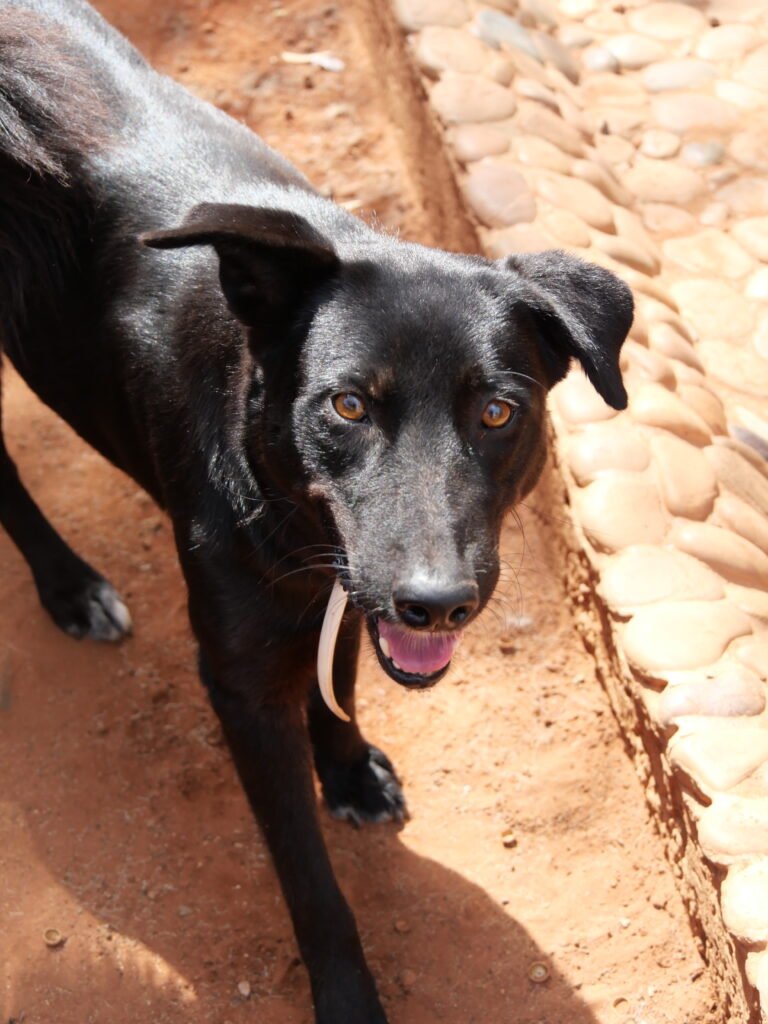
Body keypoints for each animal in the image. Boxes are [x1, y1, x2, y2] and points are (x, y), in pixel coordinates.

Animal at [0, 1, 633, 1020]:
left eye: (498, 412)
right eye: (347, 406)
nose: (437, 604)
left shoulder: (351, 586)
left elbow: (340, 674)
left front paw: (348, 767)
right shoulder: (240, 682)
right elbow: (309, 880)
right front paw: (345, 993)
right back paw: (68, 586)